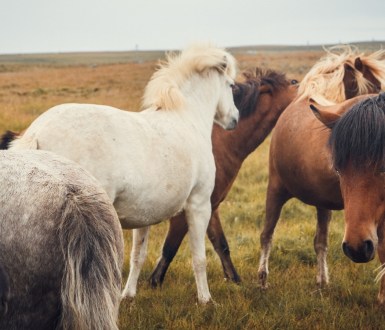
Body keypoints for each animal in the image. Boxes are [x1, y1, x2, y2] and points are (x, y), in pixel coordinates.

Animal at [9, 43, 237, 304]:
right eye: (231, 85)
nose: (235, 118)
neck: (186, 119)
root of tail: (37, 132)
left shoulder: (145, 215)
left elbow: (138, 256)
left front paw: (128, 295)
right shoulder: (199, 205)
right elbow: (199, 258)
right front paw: (206, 300)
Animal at [148, 67, 298, 286]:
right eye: (295, 83)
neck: (218, 143)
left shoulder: (211, 206)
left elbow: (222, 245)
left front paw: (235, 280)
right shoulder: (185, 212)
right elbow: (169, 248)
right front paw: (154, 283)